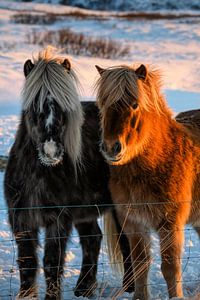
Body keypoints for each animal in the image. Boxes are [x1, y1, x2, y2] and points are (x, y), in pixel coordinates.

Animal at [3, 48, 134, 298]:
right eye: (34, 105)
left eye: (64, 106)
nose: (51, 151)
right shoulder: (21, 220)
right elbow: (27, 262)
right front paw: (26, 295)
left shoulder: (58, 220)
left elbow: (52, 263)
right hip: (85, 211)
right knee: (93, 239)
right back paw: (84, 288)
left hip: (120, 208)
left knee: (127, 242)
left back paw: (130, 287)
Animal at [95, 65, 200, 300]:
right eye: (103, 103)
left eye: (134, 104)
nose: (111, 148)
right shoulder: (134, 223)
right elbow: (140, 265)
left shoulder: (170, 224)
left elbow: (170, 268)